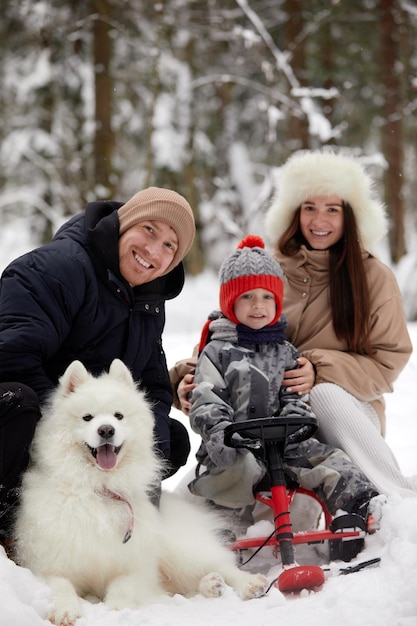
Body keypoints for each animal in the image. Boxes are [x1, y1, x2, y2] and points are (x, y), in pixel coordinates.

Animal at [14, 358, 266, 620]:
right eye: (87, 417)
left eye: (119, 416)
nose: (106, 430)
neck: (100, 487)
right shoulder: (49, 565)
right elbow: (60, 586)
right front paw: (66, 610)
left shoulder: (134, 565)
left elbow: (122, 588)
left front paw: (115, 611)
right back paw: (211, 584)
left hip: (179, 549)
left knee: (221, 564)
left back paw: (249, 584)